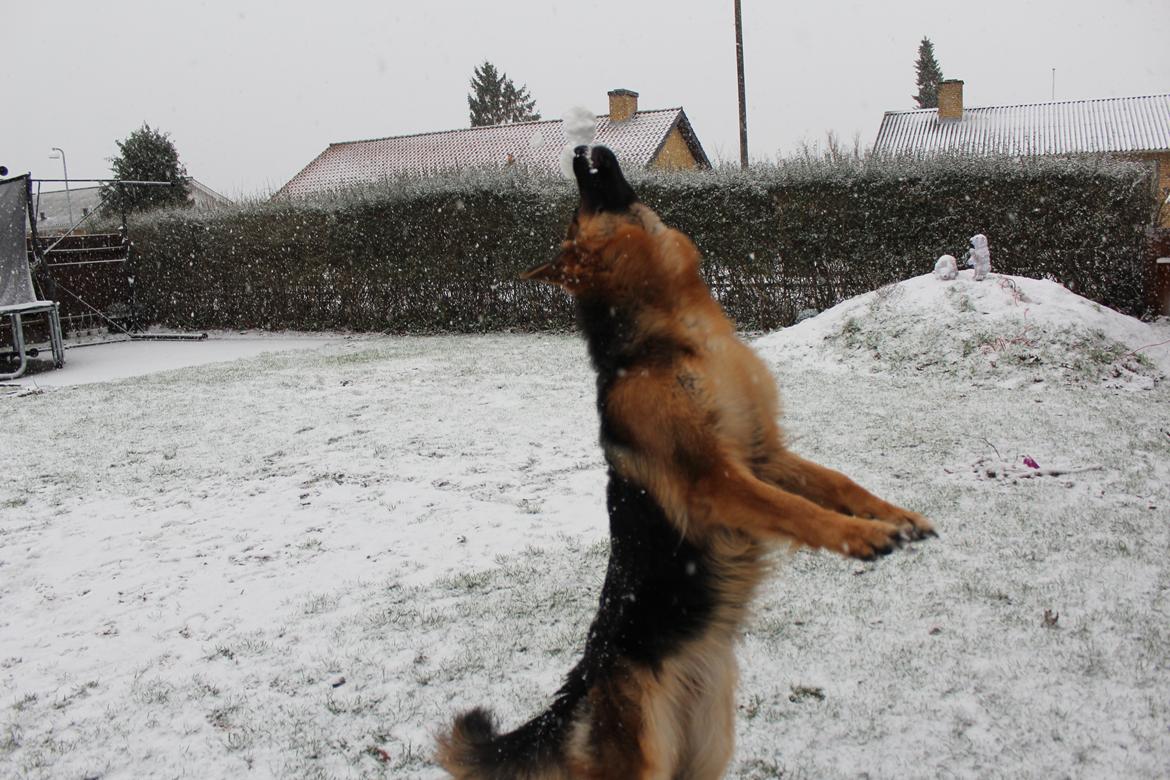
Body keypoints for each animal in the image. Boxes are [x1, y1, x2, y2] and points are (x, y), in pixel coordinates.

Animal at [435, 147, 935, 780]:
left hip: (708, 746)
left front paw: (895, 517)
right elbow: (796, 510)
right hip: (647, 756)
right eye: (575, 217)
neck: (677, 328)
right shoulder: (715, 481)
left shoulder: (764, 455)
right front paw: (863, 536)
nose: (579, 150)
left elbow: (837, 483)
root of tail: (578, 689)